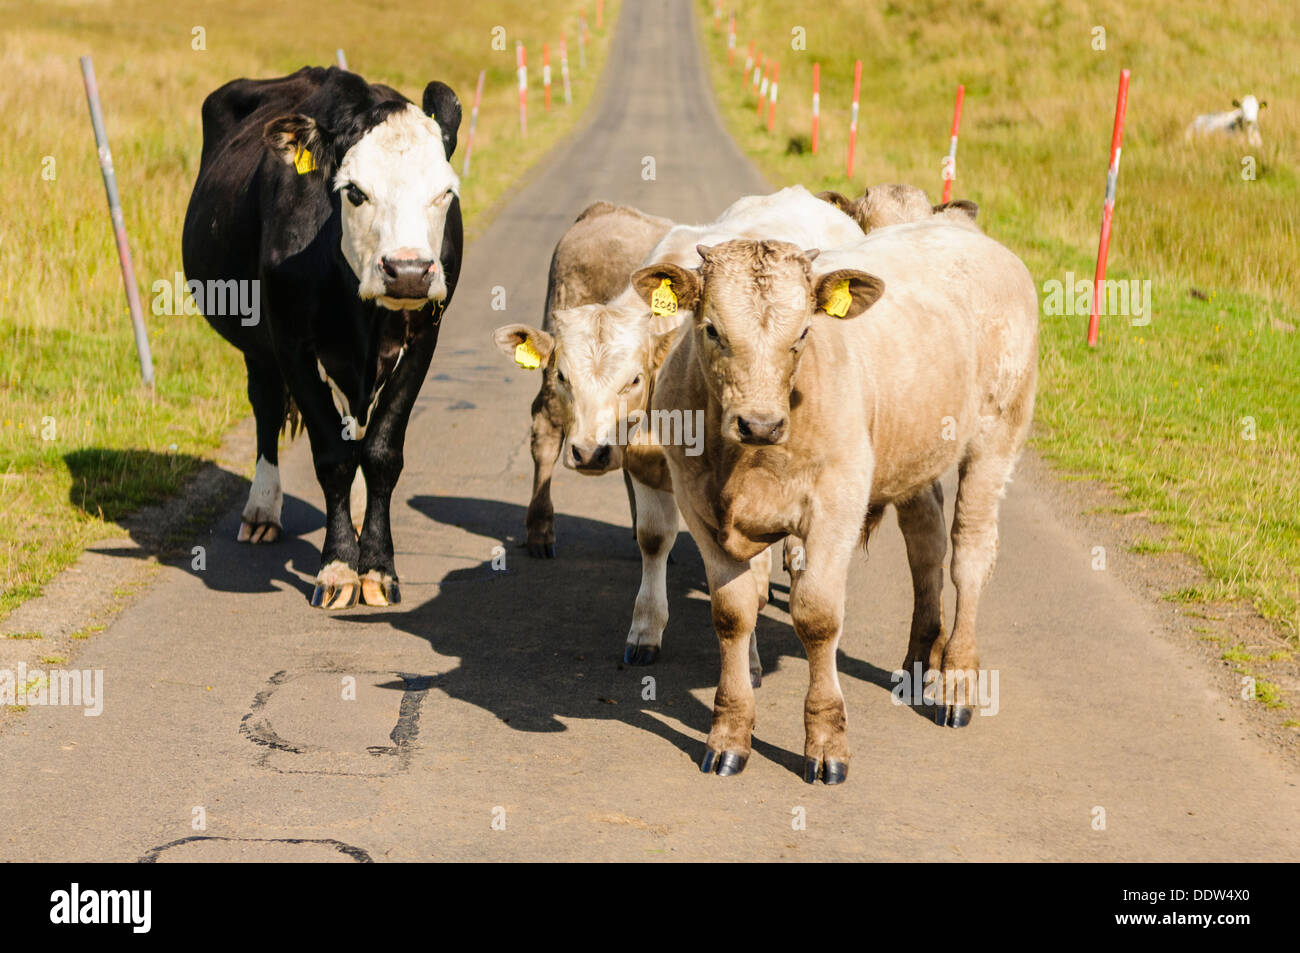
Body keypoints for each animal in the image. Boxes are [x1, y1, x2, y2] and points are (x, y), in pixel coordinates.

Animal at [182, 63, 467, 605]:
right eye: (354, 190)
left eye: (445, 192)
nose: (408, 271)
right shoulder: (293, 344)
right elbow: (332, 455)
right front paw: (338, 567)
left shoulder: (423, 339)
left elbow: (380, 452)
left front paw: (375, 567)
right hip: (259, 346)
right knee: (268, 409)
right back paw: (263, 510)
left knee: (355, 422)